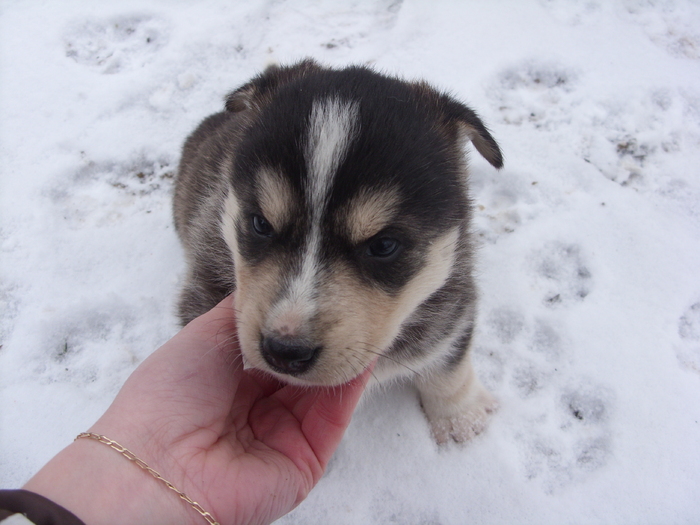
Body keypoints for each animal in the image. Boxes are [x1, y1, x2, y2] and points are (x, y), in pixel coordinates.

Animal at [174, 59, 504, 442]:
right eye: (260, 223)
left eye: (383, 245)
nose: (284, 351)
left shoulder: (453, 301)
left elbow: (449, 363)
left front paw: (460, 419)